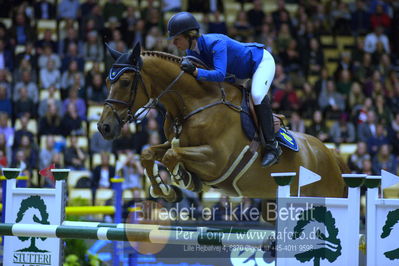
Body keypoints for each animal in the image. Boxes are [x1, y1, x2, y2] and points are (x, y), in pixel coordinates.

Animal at [98, 42, 348, 203]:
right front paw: (165, 191)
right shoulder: (175, 143)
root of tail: (330, 153)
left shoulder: (216, 159)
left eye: (125, 82)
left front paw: (184, 179)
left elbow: (171, 156)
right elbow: (149, 153)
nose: (104, 127)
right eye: (108, 81)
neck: (194, 103)